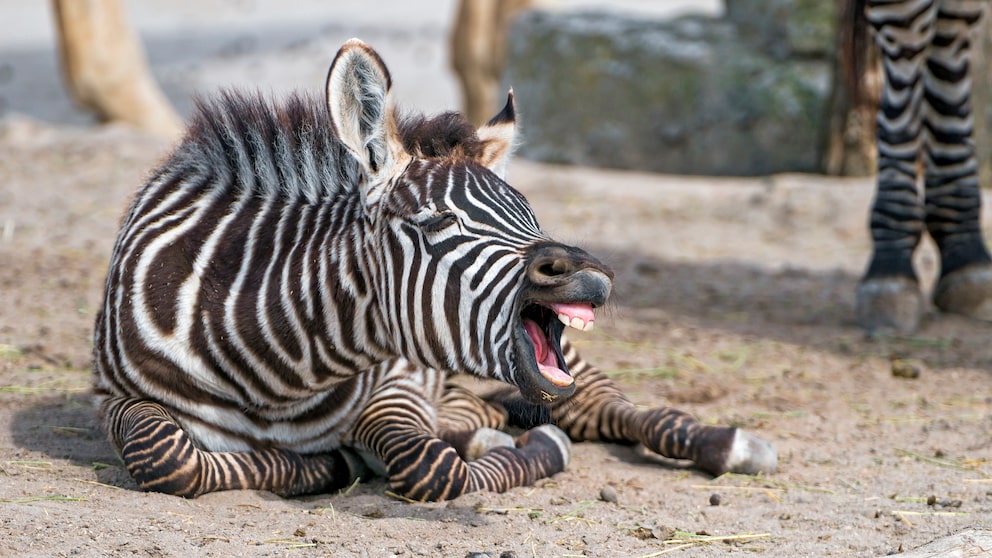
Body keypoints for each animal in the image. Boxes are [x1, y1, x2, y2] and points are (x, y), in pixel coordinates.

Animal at [91, 39, 776, 504]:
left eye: (530, 217)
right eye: (437, 222)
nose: (593, 275)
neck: (280, 375)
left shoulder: (399, 382)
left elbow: (429, 465)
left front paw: (534, 450)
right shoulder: (116, 399)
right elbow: (166, 457)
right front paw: (324, 466)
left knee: (609, 407)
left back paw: (725, 444)